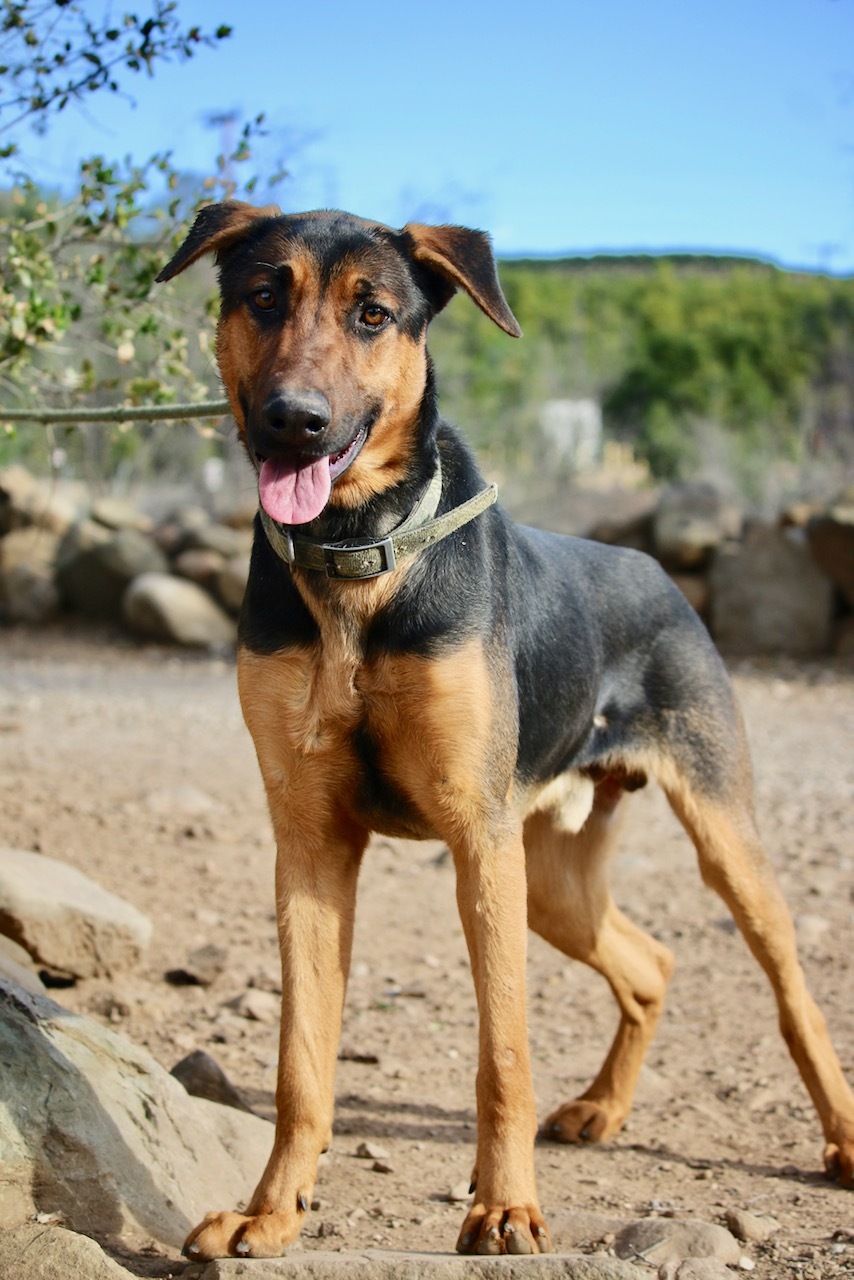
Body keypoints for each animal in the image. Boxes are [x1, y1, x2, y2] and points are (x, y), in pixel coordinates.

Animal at [155, 202, 854, 1259]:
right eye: (264, 296)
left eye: (372, 313)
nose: (294, 421)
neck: (360, 551)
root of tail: (659, 570)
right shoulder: (310, 842)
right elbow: (300, 1061)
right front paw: (270, 1211)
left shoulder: (478, 842)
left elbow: (503, 1055)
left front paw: (505, 1208)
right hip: (554, 880)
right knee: (652, 963)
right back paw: (603, 1107)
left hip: (716, 840)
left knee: (795, 997)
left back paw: (842, 1138)